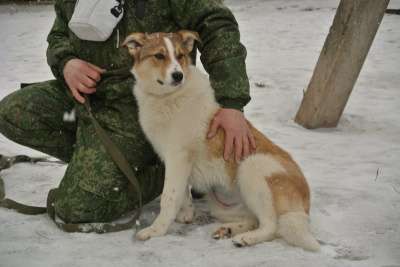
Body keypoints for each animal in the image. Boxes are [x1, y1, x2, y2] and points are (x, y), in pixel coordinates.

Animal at [123, 30, 320, 252]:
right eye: (159, 55)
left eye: (180, 56)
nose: (178, 75)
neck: (168, 98)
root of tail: (305, 205)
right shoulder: (176, 162)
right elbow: (183, 192)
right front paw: (186, 214)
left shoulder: (178, 157)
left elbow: (169, 196)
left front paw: (156, 230)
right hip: (225, 206)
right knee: (254, 219)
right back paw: (228, 230)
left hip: (253, 166)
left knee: (271, 226)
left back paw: (246, 238)